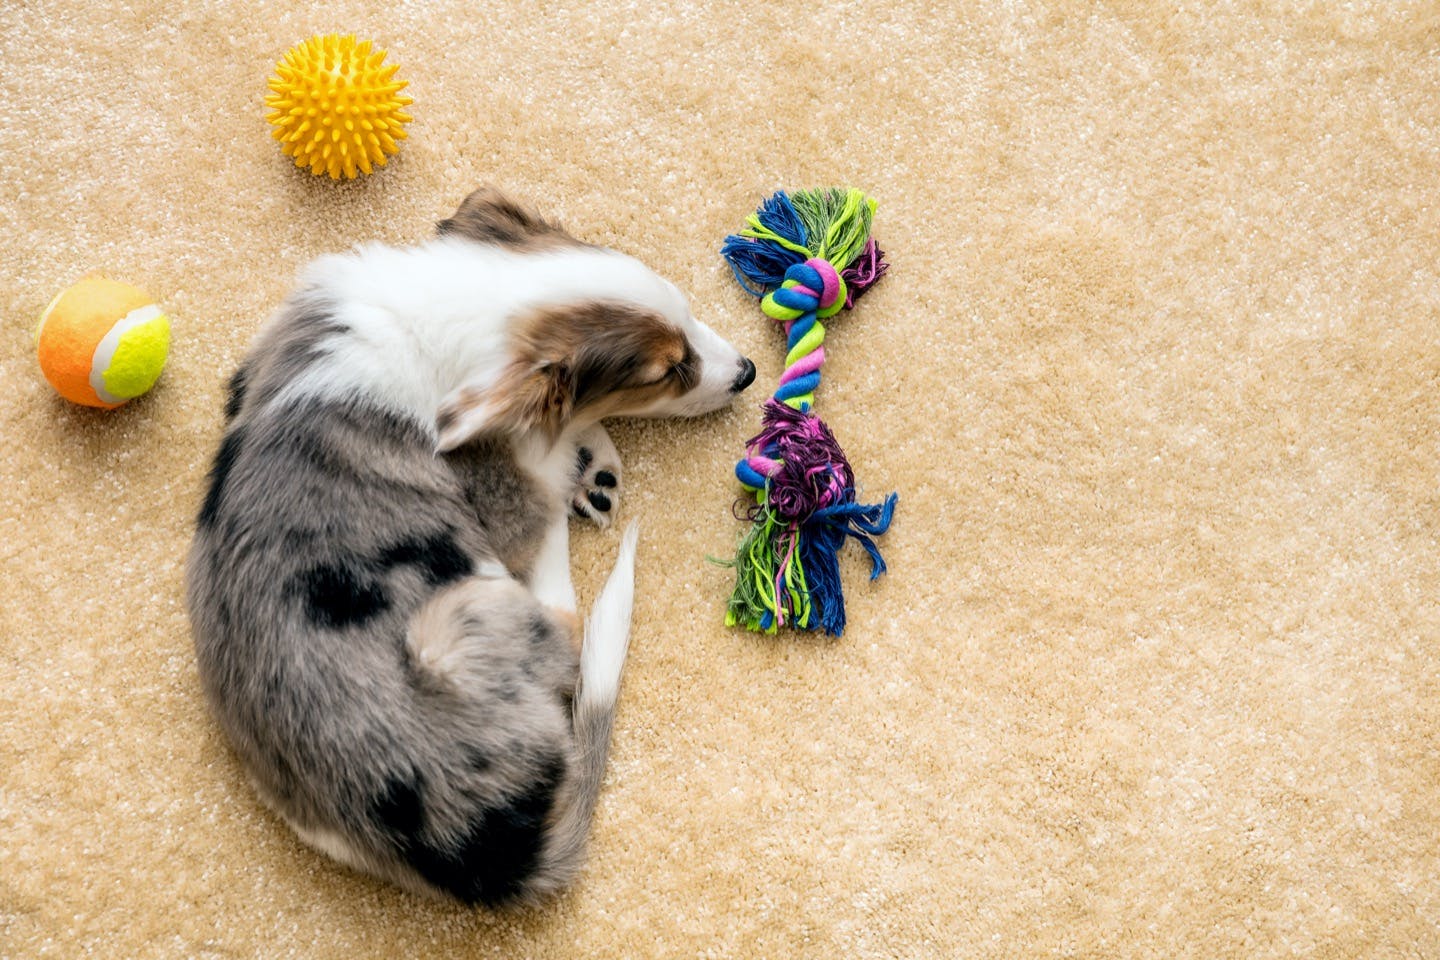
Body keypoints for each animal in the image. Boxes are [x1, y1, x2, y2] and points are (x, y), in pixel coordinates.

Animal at [185, 187, 760, 909]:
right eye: (669, 370)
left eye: (685, 312)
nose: (749, 373)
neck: (440, 313)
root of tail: (488, 861)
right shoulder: (509, 500)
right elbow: (543, 460)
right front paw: (577, 455)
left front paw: (593, 462)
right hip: (462, 613)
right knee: (571, 623)